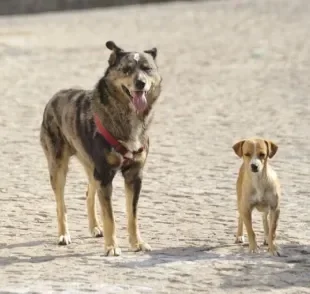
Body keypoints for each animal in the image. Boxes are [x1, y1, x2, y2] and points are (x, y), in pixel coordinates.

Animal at [39, 40, 162, 255]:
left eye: (147, 68)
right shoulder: (105, 174)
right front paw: (112, 247)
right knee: (60, 203)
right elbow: (110, 216)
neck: (128, 118)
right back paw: (63, 235)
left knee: (89, 193)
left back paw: (95, 228)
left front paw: (137, 243)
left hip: (91, 166)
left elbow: (132, 214)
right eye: (126, 69)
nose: (141, 83)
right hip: (58, 166)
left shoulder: (134, 174)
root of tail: (55, 96)